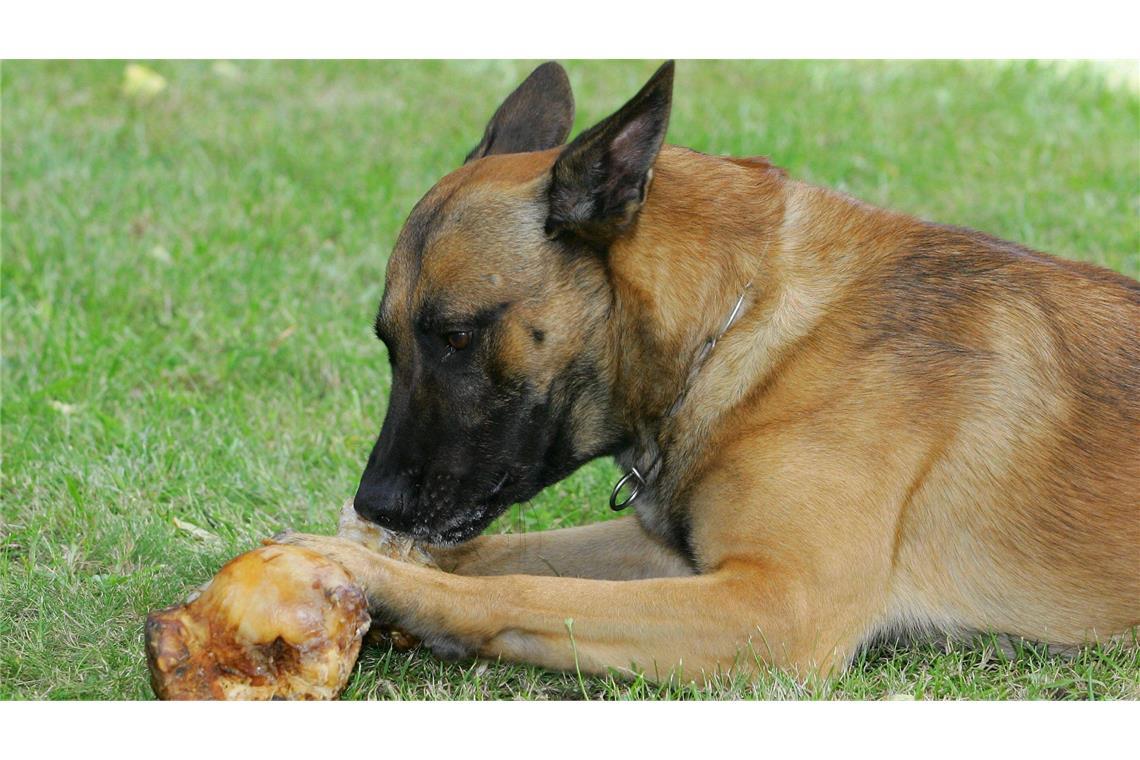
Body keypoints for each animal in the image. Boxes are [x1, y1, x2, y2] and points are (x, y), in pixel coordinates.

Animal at [278, 60, 1140, 683]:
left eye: (455, 336)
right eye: (389, 341)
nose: (375, 503)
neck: (741, 329)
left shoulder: (778, 603)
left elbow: (518, 591)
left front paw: (380, 579)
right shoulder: (673, 556)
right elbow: (490, 557)